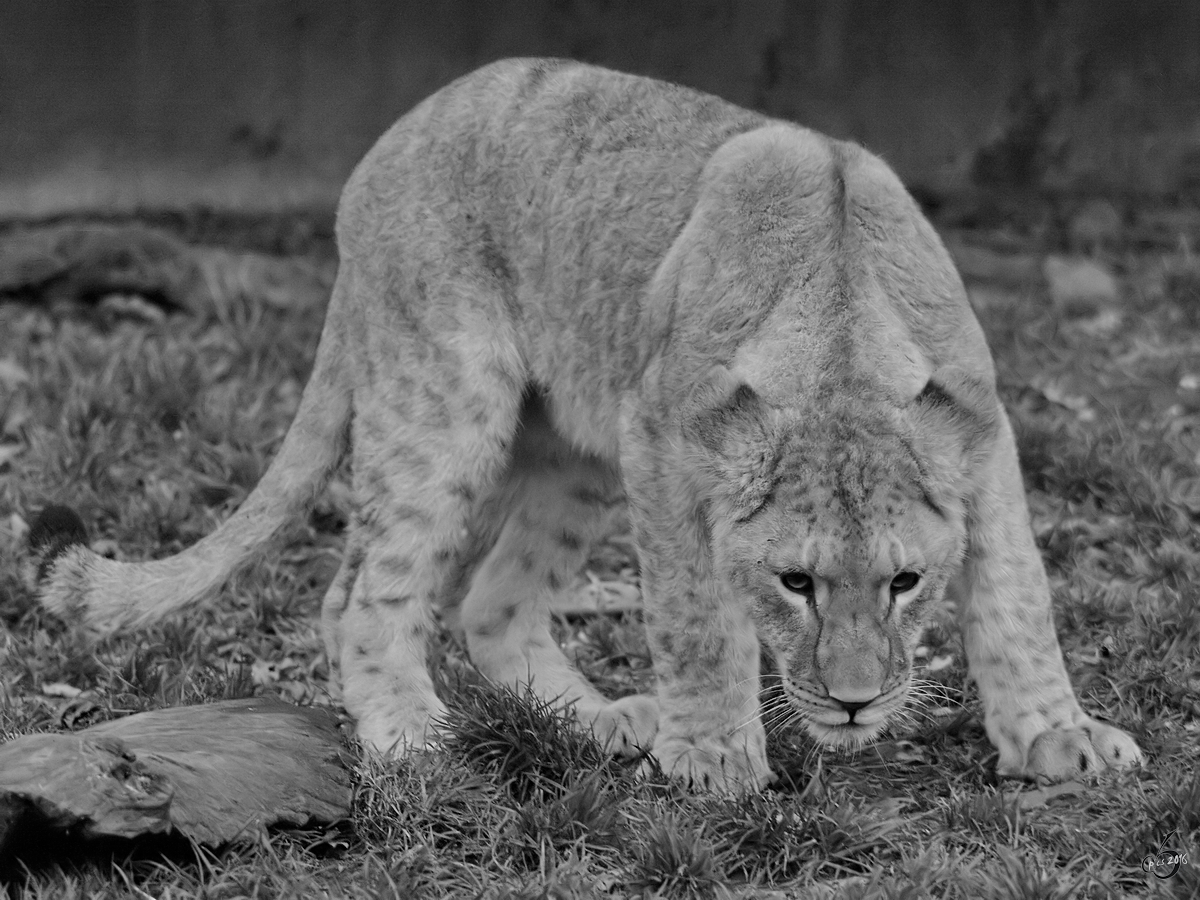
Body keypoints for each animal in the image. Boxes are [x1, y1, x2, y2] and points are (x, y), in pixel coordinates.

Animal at [35, 58, 1142, 787]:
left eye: (906, 582)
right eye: (796, 583)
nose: (856, 700)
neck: (844, 356)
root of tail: (385, 146)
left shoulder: (987, 440)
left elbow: (1019, 595)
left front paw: (1063, 737)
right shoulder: (664, 442)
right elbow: (696, 618)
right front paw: (712, 755)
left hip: (570, 448)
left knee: (491, 600)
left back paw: (605, 722)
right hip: (445, 401)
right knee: (360, 593)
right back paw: (412, 732)